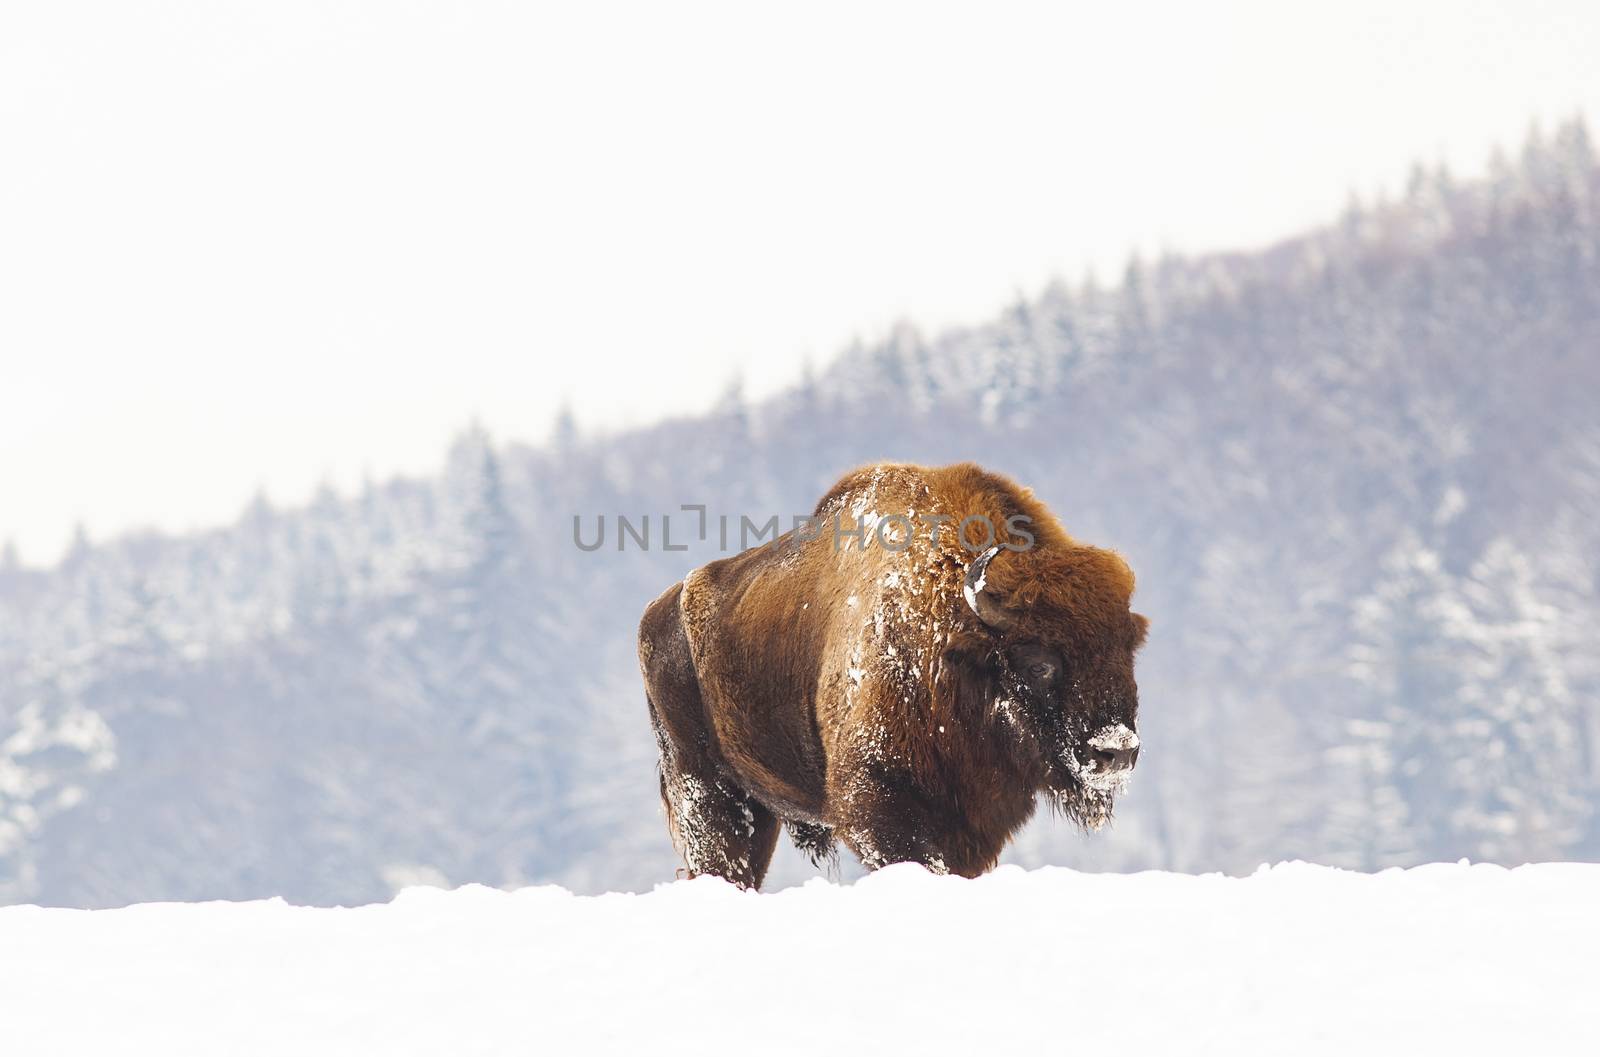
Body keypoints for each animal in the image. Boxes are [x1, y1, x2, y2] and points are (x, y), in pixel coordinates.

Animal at [630, 460, 1145, 882]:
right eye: (1039, 663)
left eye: (1128, 651)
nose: (1116, 751)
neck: (953, 640)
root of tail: (658, 612)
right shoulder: (878, 802)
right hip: (707, 791)